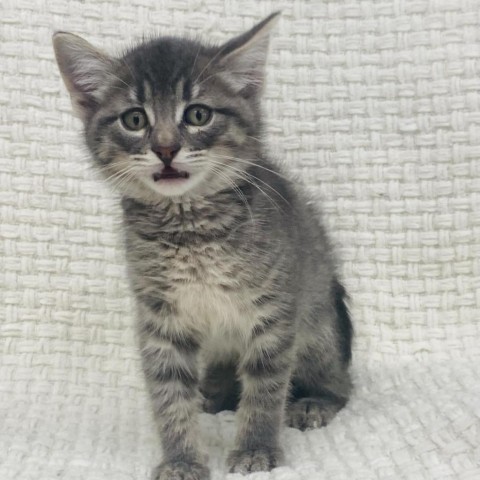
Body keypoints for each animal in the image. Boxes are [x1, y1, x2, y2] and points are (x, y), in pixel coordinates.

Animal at [53, 12, 352, 480]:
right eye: (134, 120)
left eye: (198, 114)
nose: (165, 148)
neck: (190, 229)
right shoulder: (161, 318)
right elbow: (169, 393)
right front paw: (181, 458)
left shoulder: (273, 311)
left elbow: (266, 386)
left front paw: (255, 448)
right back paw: (212, 395)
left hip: (317, 328)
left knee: (340, 383)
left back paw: (313, 401)